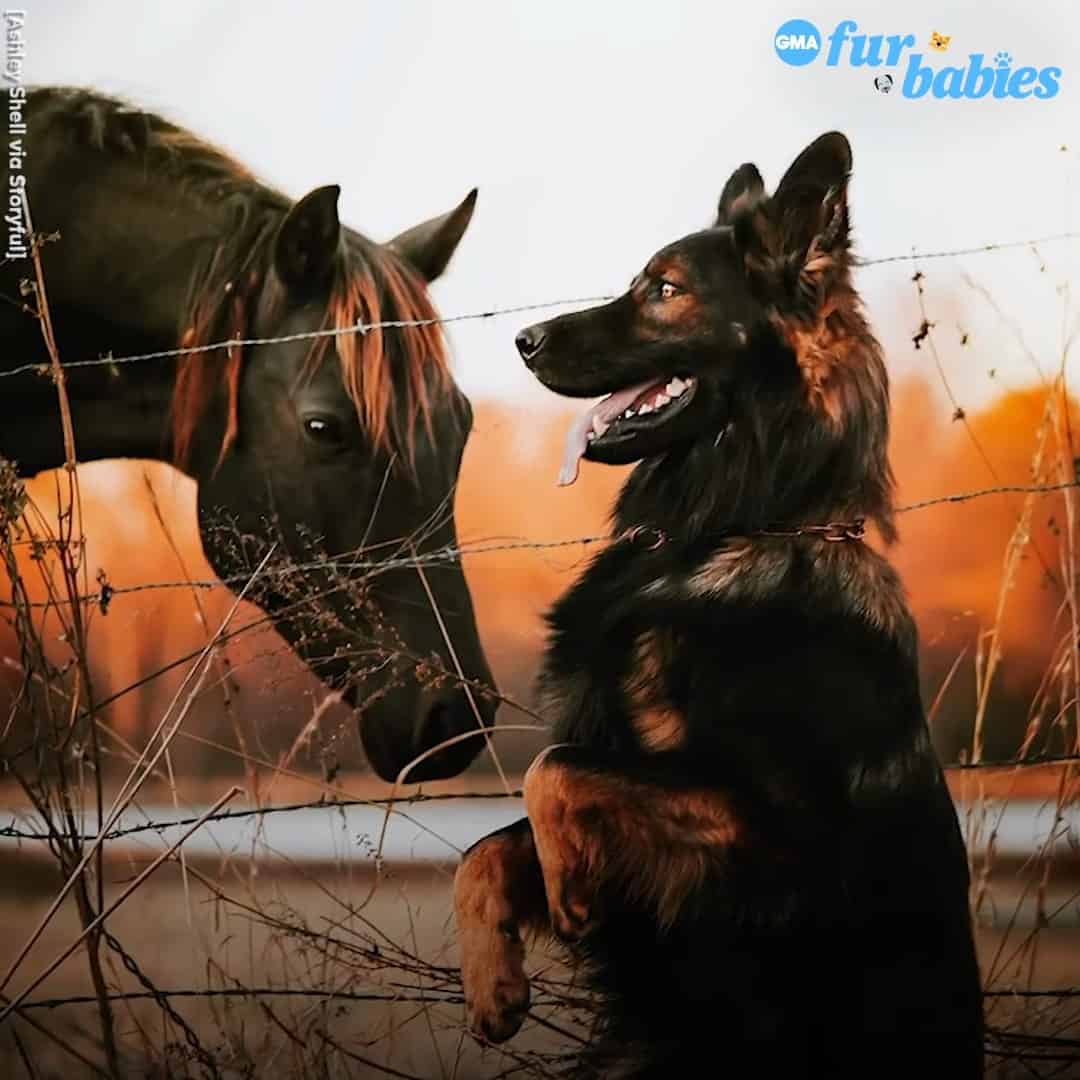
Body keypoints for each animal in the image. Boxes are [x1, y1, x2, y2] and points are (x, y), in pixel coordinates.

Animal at [451, 130, 984, 1075]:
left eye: (665, 290)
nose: (522, 338)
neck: (735, 528)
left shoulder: (780, 846)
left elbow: (555, 772)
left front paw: (567, 888)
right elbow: (484, 846)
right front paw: (492, 981)